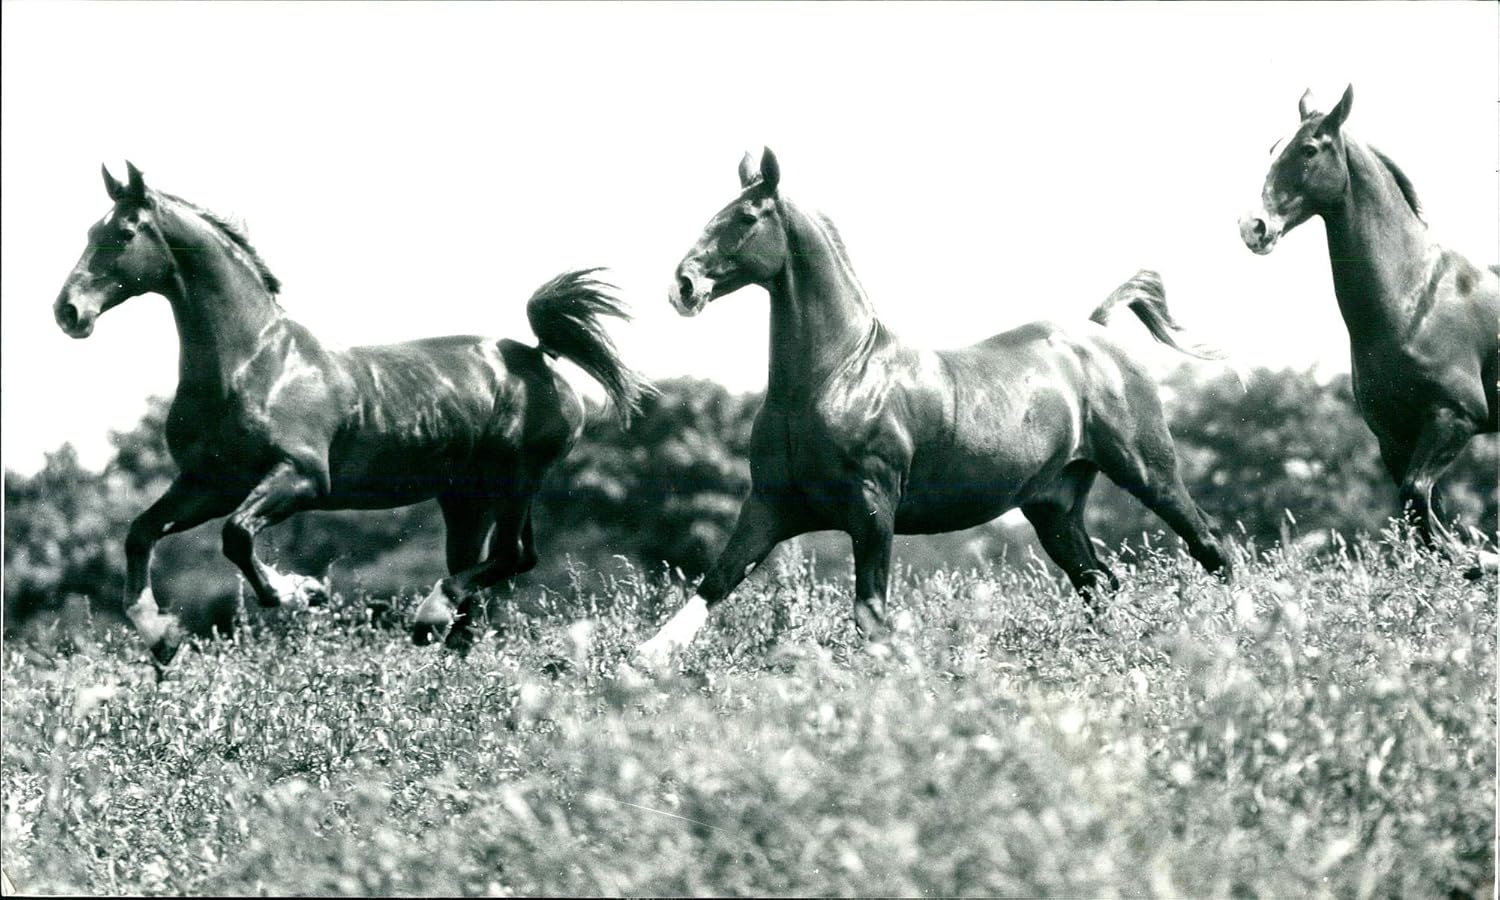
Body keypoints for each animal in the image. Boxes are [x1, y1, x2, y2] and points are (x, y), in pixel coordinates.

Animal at [53, 162, 654, 665]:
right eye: (88, 232)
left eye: (123, 233)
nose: (68, 311)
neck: (254, 363)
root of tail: (538, 356)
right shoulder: (210, 483)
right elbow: (141, 533)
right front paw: (159, 635)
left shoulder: (301, 479)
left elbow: (237, 536)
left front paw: (301, 592)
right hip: (465, 499)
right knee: (480, 576)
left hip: (514, 481)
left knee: (513, 557)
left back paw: (427, 616)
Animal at [635, 148, 1231, 666]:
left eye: (746, 217)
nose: (683, 286)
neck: (835, 377)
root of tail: (1098, 332)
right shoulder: (769, 505)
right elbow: (714, 582)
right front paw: (641, 661)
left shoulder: (873, 508)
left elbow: (870, 613)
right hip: (1054, 508)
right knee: (1099, 581)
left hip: (1147, 471)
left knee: (1210, 545)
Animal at [1239, 86, 1499, 575]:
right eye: (1273, 148)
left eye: (1309, 149)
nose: (1253, 227)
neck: (1416, 298)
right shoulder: (1394, 437)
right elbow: (1418, 512)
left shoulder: (1454, 417)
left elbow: (1418, 499)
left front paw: (1476, 561)